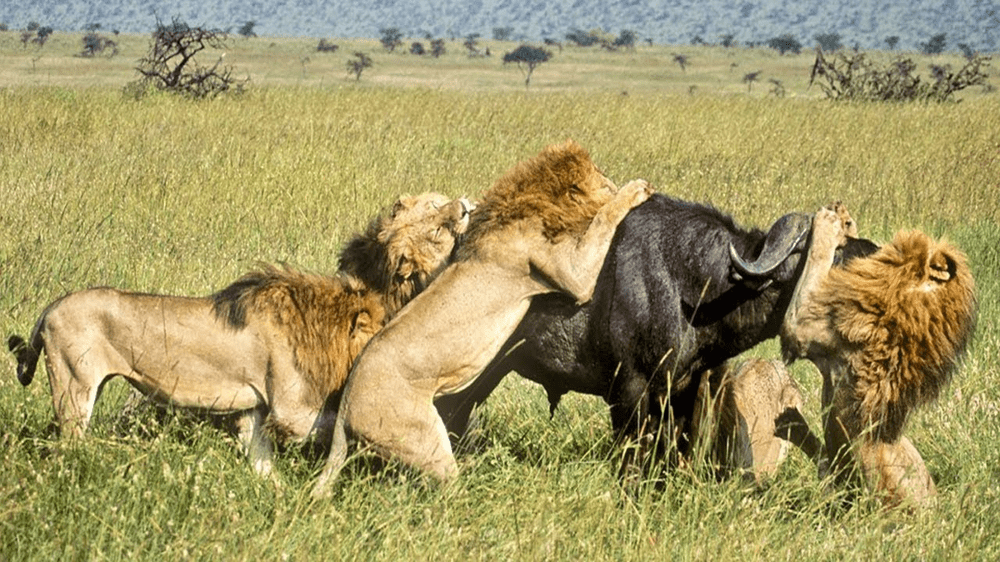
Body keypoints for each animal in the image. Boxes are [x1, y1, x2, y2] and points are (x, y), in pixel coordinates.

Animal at [6, 190, 476, 474]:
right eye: (438, 225)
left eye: (437, 202)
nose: (465, 206)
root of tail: (49, 308)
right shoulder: (290, 409)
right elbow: (332, 426)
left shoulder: (254, 409)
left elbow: (261, 462)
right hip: (74, 387)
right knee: (67, 444)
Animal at [314, 140, 656, 494]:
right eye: (604, 177)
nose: (463, 209)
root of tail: (344, 407)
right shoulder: (574, 277)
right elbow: (603, 220)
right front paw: (635, 190)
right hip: (425, 442)